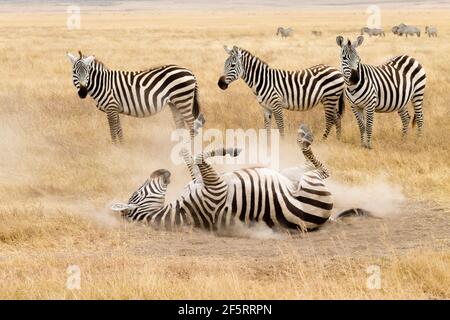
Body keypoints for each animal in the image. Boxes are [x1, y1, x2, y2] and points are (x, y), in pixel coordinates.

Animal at [66, 50, 200, 143]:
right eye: (75, 72)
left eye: (87, 73)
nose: (82, 92)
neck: (104, 84)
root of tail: (190, 72)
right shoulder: (115, 109)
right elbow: (119, 130)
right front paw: (122, 147)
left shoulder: (111, 107)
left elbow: (113, 130)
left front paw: (114, 149)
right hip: (175, 103)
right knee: (181, 124)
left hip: (183, 100)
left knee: (192, 124)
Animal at [110, 120, 364, 232]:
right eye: (137, 193)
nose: (162, 172)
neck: (181, 211)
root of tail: (325, 219)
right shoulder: (215, 187)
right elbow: (199, 157)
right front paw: (231, 149)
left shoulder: (201, 182)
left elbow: (191, 158)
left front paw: (193, 140)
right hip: (309, 183)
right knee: (323, 171)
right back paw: (304, 139)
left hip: (291, 174)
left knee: (314, 167)